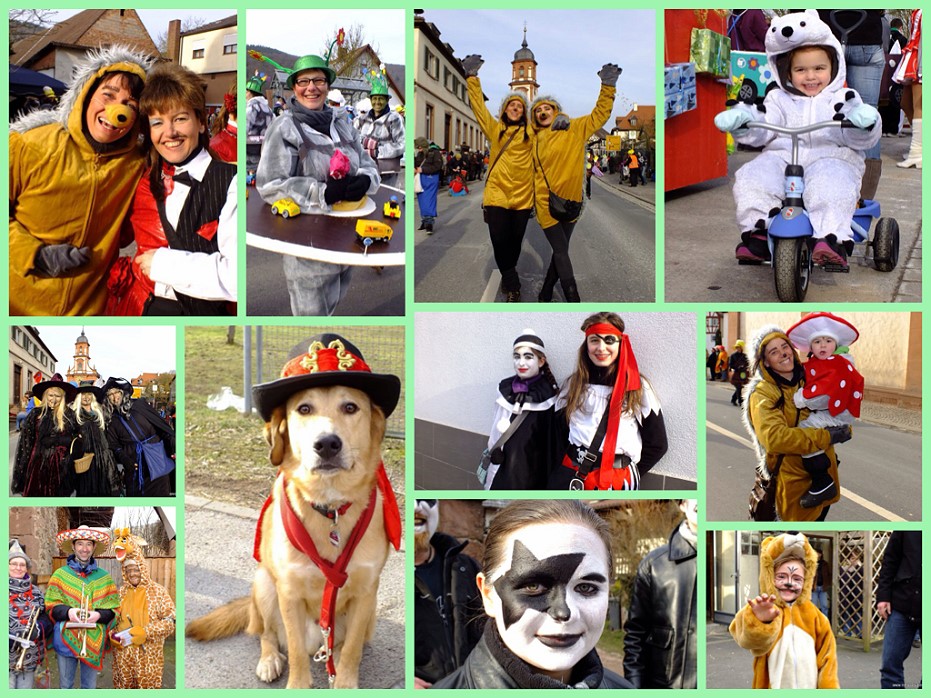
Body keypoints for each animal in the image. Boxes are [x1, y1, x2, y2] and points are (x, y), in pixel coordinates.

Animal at [189, 384, 394, 688]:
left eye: (350, 407)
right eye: (304, 408)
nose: (327, 444)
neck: (329, 508)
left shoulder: (366, 592)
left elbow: (352, 650)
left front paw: (344, 682)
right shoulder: (289, 593)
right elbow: (295, 652)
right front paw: (297, 683)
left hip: (369, 614)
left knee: (341, 646)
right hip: (264, 584)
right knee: (267, 635)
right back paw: (269, 660)